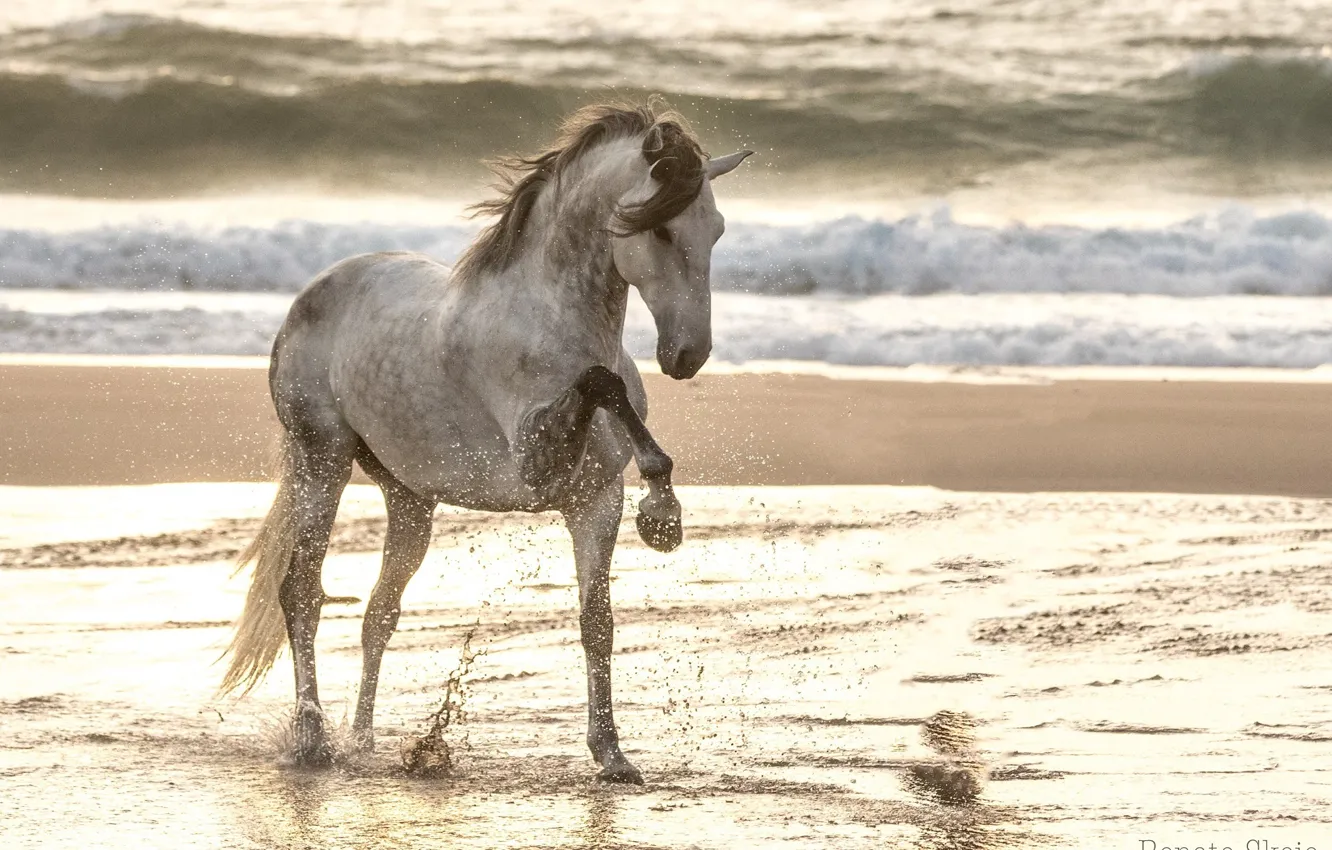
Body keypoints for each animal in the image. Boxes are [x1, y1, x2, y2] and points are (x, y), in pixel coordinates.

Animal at [217, 103, 751, 784]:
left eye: (716, 231)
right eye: (658, 231)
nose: (687, 356)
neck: (550, 323)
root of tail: (310, 295)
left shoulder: (594, 502)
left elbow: (596, 623)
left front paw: (612, 756)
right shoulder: (537, 466)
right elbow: (601, 385)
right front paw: (662, 511)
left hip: (409, 499)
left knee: (378, 612)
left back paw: (362, 741)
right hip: (321, 460)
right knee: (302, 594)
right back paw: (313, 741)